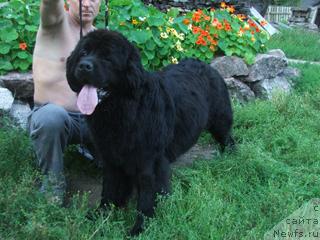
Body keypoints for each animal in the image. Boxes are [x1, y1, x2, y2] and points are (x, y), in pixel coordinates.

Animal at [66, 29, 234, 235]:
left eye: (107, 57)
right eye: (83, 53)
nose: (84, 66)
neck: (124, 109)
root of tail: (206, 64)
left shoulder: (150, 161)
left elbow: (147, 197)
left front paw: (140, 228)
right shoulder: (111, 157)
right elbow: (110, 190)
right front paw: (101, 216)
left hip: (220, 119)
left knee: (228, 137)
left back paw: (230, 156)